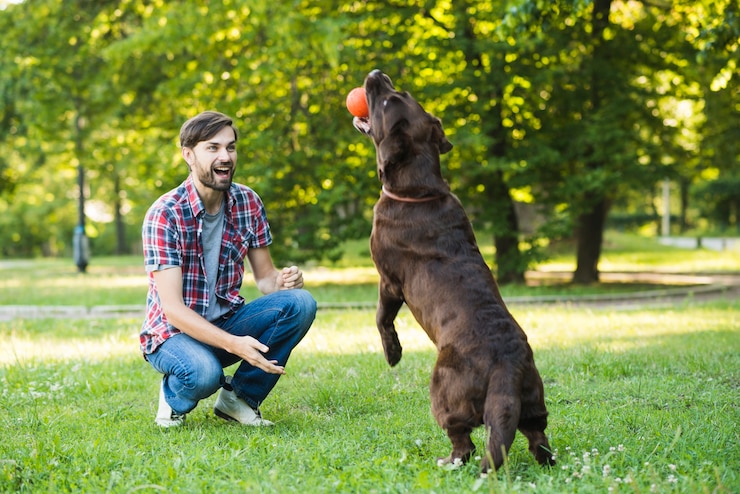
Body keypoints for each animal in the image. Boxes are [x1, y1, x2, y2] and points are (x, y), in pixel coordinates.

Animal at [354, 68, 556, 470]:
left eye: (385, 100)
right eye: (400, 93)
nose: (376, 73)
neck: (418, 190)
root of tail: (507, 366)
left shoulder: (389, 281)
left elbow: (382, 318)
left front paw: (393, 354)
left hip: (444, 389)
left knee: (464, 441)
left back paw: (448, 461)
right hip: (533, 399)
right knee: (536, 437)